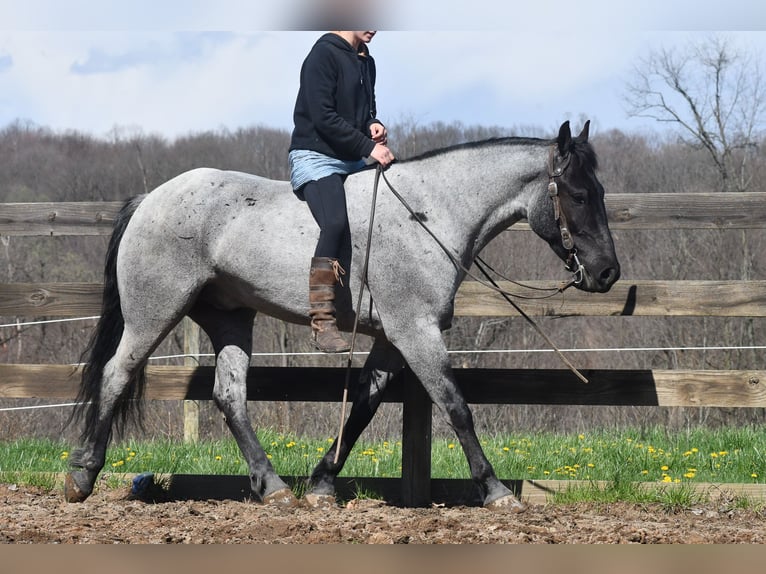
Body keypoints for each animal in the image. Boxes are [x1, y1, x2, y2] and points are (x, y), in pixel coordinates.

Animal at [65, 120, 620, 511]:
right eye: (578, 195)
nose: (607, 272)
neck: (430, 212)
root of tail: (149, 199)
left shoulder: (392, 340)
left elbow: (362, 411)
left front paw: (320, 483)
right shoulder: (416, 332)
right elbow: (456, 406)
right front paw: (494, 489)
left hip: (231, 319)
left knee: (229, 395)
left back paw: (272, 485)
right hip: (153, 314)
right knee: (115, 376)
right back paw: (82, 476)